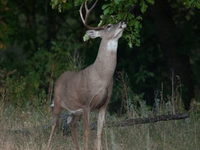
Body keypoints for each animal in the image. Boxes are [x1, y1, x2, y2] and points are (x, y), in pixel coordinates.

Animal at [47, 0, 126, 150]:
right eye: (108, 25)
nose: (123, 21)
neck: (102, 77)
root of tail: (59, 78)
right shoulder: (86, 102)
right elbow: (88, 131)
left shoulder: (104, 104)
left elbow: (99, 132)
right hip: (58, 102)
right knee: (54, 123)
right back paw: (47, 145)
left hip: (75, 111)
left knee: (70, 122)